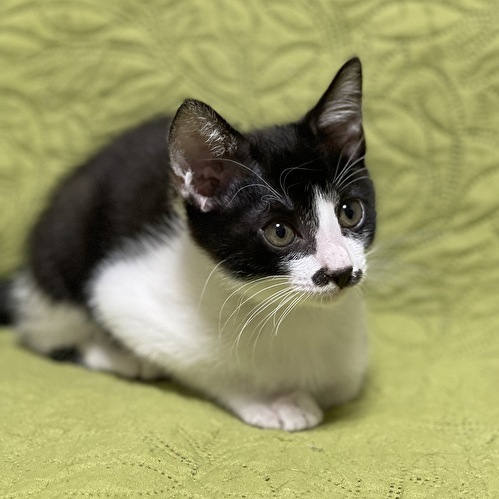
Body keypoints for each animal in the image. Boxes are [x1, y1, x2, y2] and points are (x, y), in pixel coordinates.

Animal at [0, 57, 376, 431]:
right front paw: (270, 399)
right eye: (280, 232)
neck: (295, 313)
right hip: (61, 251)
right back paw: (123, 358)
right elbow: (207, 365)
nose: (341, 271)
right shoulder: (119, 294)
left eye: (350, 212)